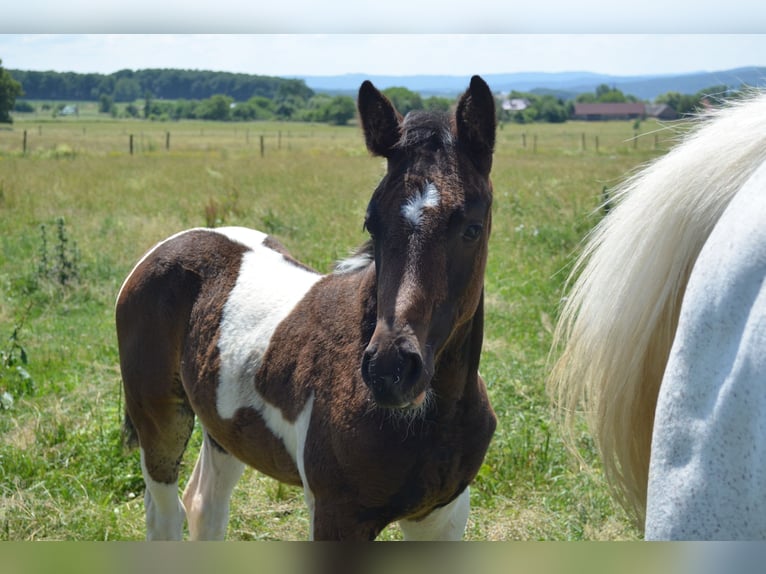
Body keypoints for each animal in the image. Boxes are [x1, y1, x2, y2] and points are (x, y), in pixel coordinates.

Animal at [114, 75, 498, 540]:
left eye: (472, 228)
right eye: (372, 223)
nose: (389, 370)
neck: (432, 418)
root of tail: (170, 245)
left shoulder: (443, 513)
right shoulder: (337, 515)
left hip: (224, 426)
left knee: (205, 505)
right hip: (157, 418)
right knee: (165, 515)